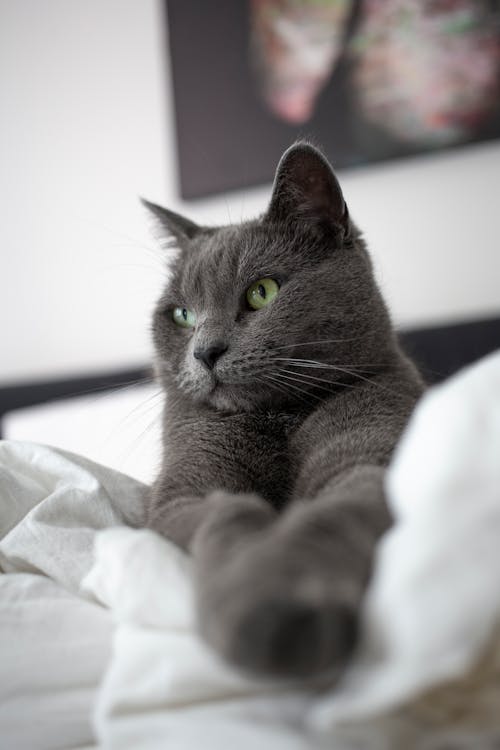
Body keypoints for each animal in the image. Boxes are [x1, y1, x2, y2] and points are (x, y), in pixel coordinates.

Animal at [143, 141, 424, 680]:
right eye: (183, 315)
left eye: (263, 291)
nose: (204, 352)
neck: (278, 419)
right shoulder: (181, 493)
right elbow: (229, 511)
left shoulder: (371, 448)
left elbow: (329, 512)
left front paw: (282, 612)